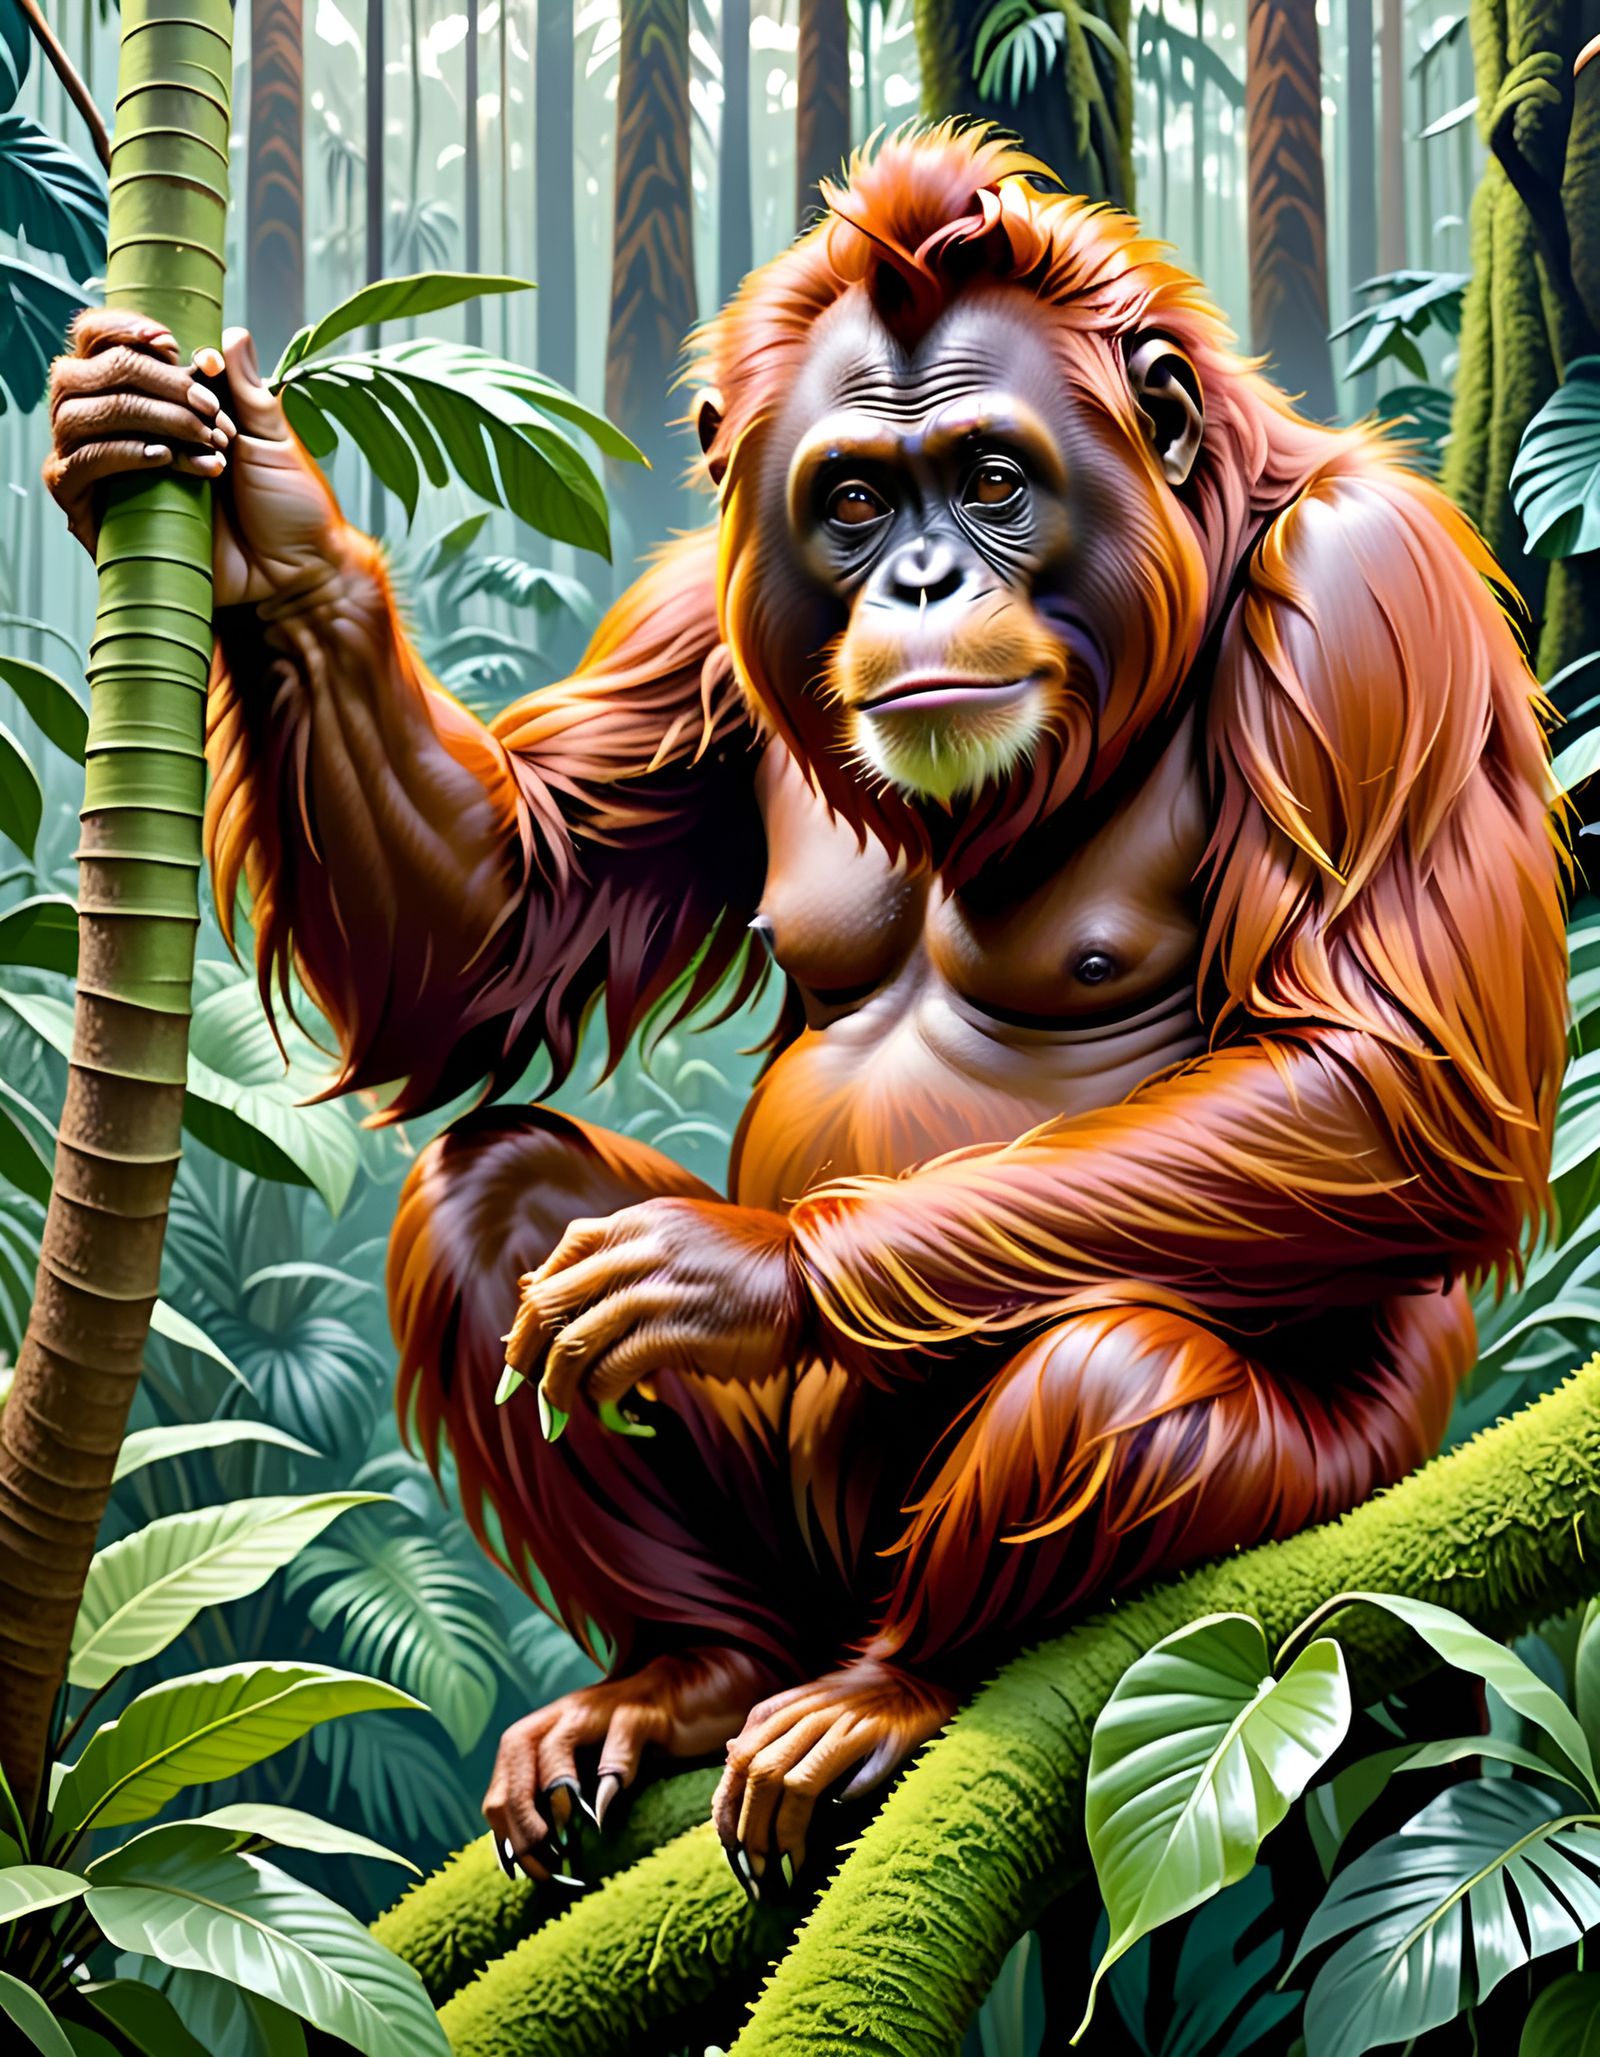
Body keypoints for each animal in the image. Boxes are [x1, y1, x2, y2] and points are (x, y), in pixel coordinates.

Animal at [46, 128, 1568, 1897]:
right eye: (853, 499)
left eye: (993, 481)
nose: (917, 574)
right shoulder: (698, 615)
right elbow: (495, 929)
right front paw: (253, 512)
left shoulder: (1371, 595)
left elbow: (1387, 1088)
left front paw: (744, 1272)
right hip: (789, 1565)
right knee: (496, 1192)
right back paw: (691, 1670)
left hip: (1313, 1499)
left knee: (1112, 1368)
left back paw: (897, 1688)